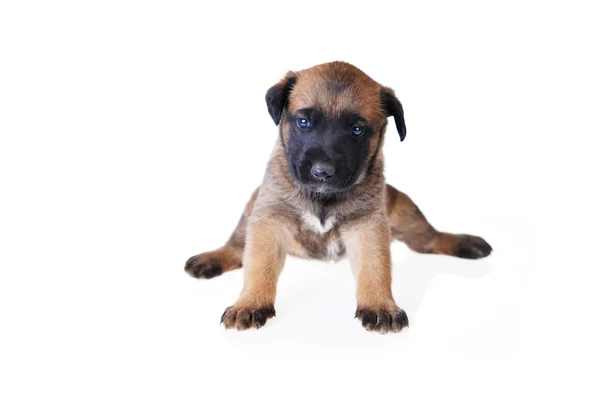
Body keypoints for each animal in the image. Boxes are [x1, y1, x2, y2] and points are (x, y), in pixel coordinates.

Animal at [184, 61, 492, 332]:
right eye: (303, 122)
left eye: (357, 130)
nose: (322, 172)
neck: (322, 197)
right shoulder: (269, 219)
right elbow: (258, 264)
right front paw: (249, 304)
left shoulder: (368, 224)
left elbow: (375, 267)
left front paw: (380, 306)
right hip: (251, 207)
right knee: (238, 247)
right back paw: (211, 259)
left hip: (404, 209)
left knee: (429, 239)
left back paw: (464, 242)